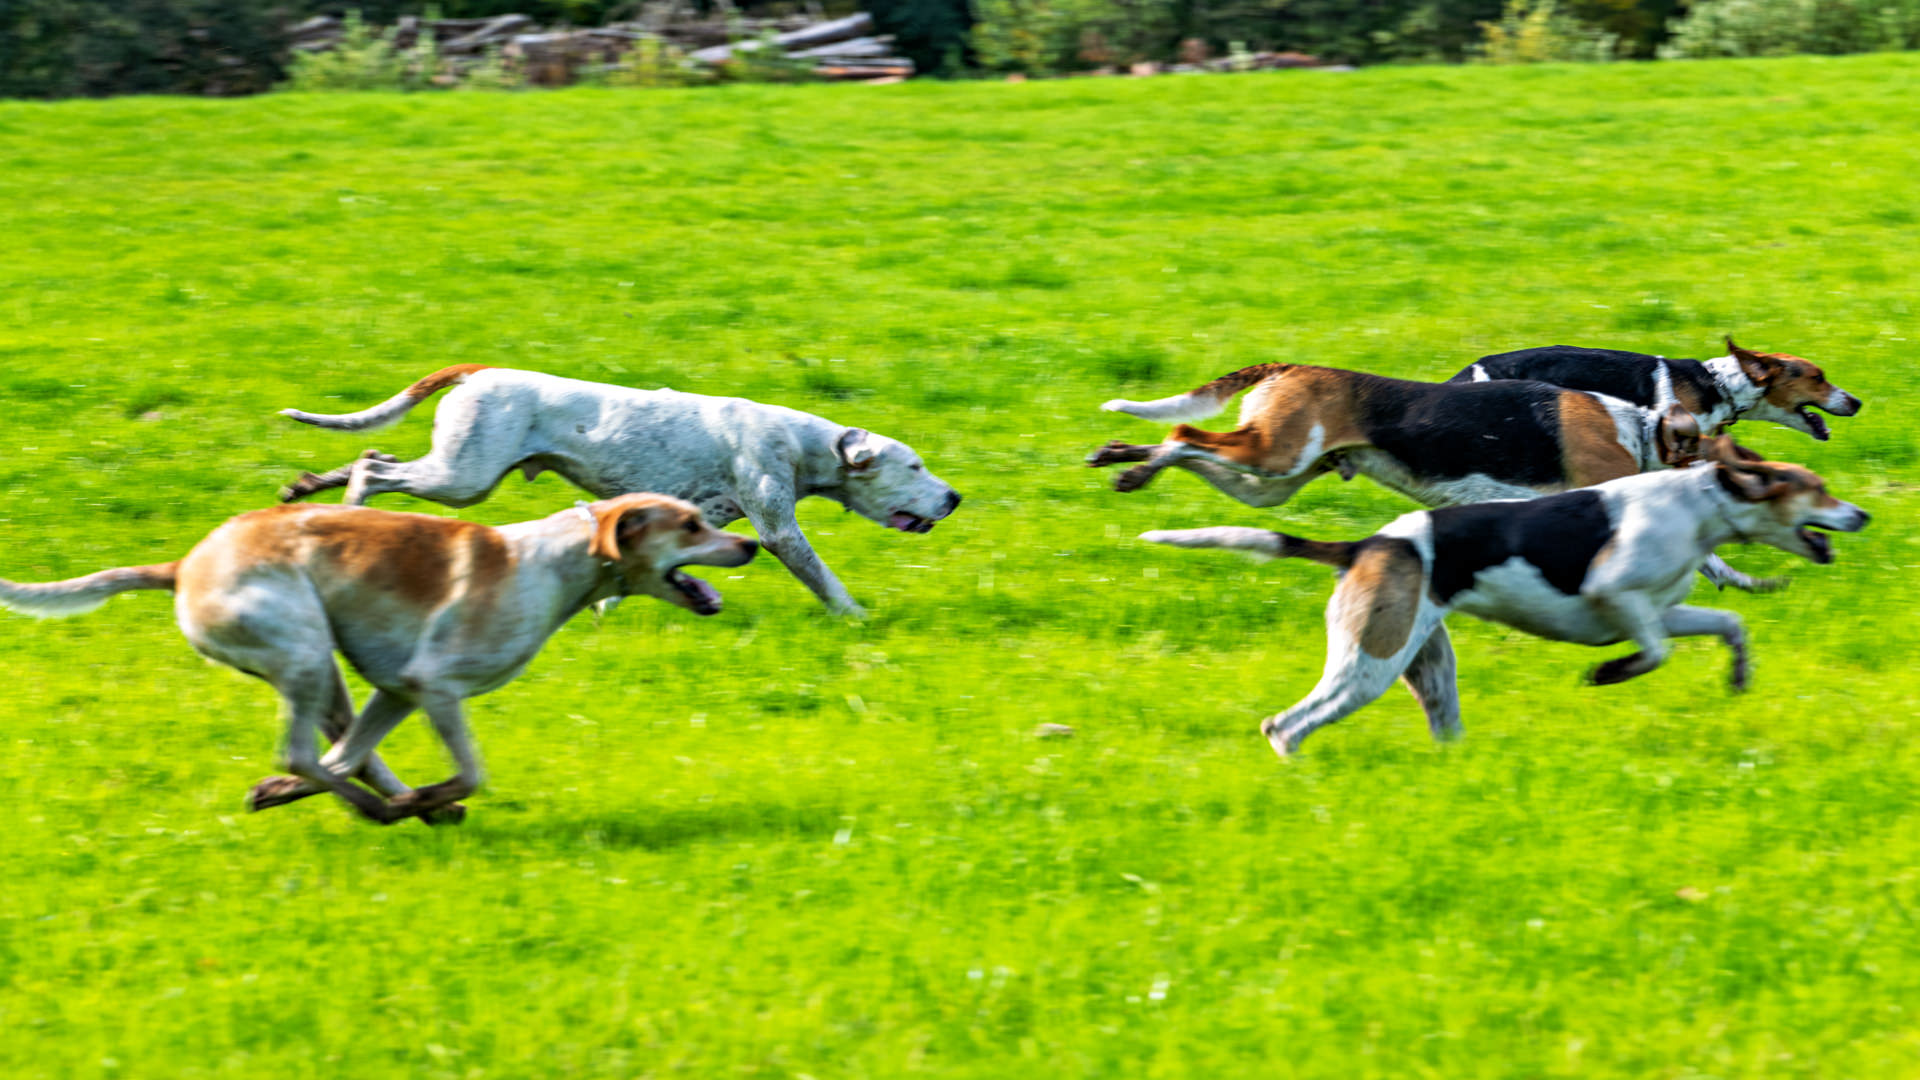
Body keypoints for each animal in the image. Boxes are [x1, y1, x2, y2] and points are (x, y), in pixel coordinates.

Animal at [0, 495, 757, 824]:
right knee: (308, 756)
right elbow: (471, 772)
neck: (559, 560)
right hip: (304, 652)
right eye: (691, 525)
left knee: (337, 756)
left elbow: (360, 755)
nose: (752, 544)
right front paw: (427, 797)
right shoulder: (436, 687)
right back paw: (382, 807)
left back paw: (375, 800)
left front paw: (417, 800)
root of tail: (183, 565)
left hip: (327, 670)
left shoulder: (398, 689)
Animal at [278, 365, 961, 616]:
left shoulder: (703, 518)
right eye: (915, 467)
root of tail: (477, 373)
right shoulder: (778, 529)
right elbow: (825, 580)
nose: (954, 498)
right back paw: (348, 509)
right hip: (461, 479)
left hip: (455, 473)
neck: (804, 443)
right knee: (373, 471)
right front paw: (858, 619)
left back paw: (311, 492)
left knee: (369, 454)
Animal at [1140, 437, 1868, 757]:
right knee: (1286, 726)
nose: (1860, 515)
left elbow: (1731, 621)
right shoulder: (1616, 597)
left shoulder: (1667, 608)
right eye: (1818, 488)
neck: (1699, 502)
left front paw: (1739, 675)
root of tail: (1366, 546)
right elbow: (1654, 652)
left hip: (1428, 666)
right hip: (1367, 666)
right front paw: (1609, 672)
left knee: (1439, 727)